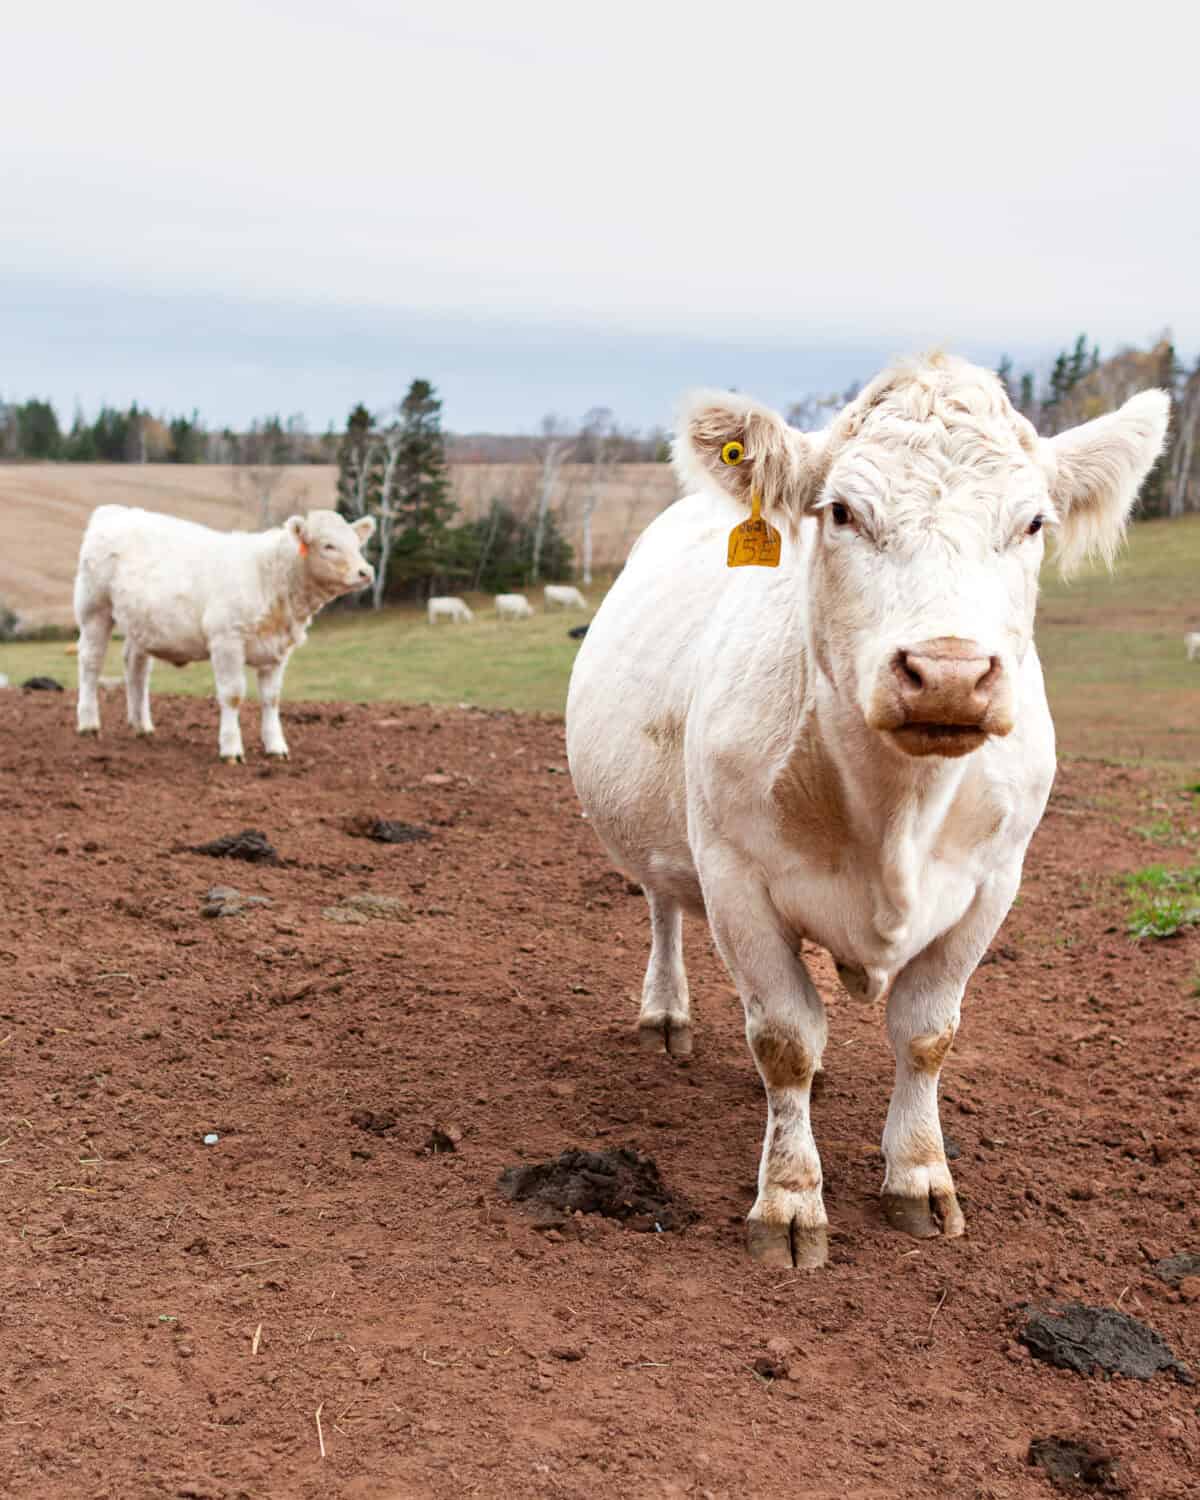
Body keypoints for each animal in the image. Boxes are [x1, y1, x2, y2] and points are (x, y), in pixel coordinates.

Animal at [74, 505, 374, 762]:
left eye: (356, 544)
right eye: (328, 545)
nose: (366, 572)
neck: (269, 575)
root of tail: (114, 511)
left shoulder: (277, 650)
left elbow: (272, 698)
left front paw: (276, 747)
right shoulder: (227, 641)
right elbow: (232, 695)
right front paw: (231, 749)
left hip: (143, 624)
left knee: (136, 667)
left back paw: (142, 726)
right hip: (94, 609)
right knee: (91, 663)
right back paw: (88, 724)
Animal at [566, 354, 1168, 1269]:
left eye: (1033, 522)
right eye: (843, 512)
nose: (949, 673)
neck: (896, 813)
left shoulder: (993, 884)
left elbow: (925, 1032)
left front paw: (918, 1178)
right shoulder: (736, 876)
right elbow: (784, 1038)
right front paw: (788, 1201)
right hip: (667, 830)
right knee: (664, 903)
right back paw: (665, 1014)